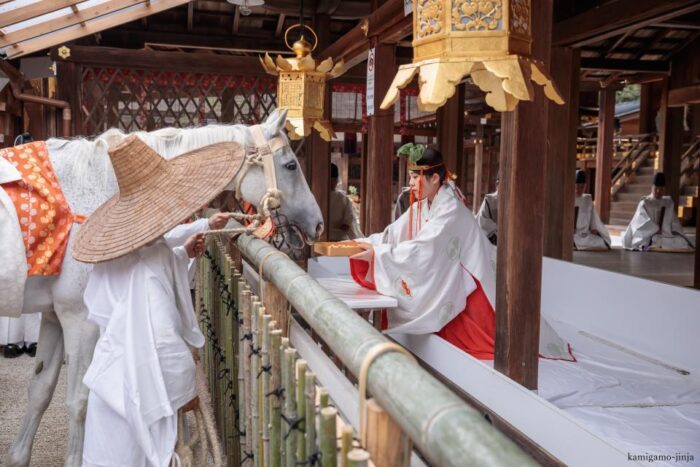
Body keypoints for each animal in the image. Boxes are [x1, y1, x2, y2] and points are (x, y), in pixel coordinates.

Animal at [5, 109, 324, 467]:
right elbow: (78, 402)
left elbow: (40, 390)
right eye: (291, 165)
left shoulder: (53, 315)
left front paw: (18, 457)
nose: (318, 224)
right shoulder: (78, 318)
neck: (99, 190)